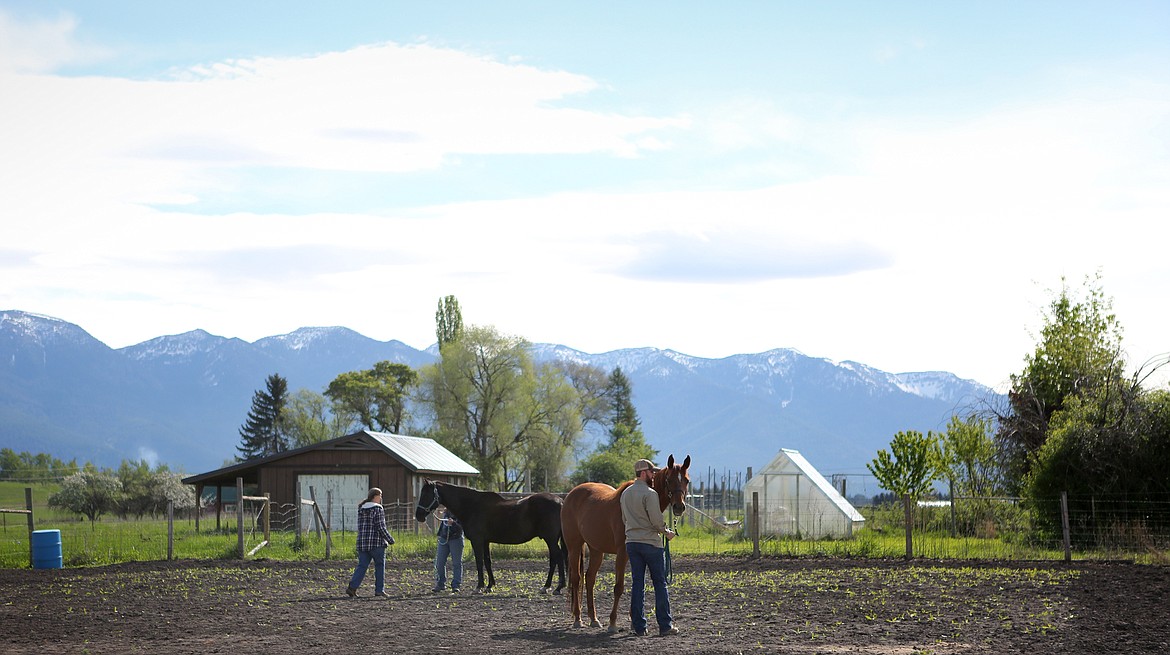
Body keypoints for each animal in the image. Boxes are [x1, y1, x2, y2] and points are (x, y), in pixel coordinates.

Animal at [416, 481, 566, 594]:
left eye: (426, 494)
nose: (418, 515)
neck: (472, 505)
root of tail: (560, 502)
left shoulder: (477, 541)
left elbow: (479, 562)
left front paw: (479, 587)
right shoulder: (485, 541)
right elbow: (488, 561)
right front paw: (490, 586)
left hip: (550, 539)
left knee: (558, 557)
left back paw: (556, 587)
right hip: (551, 539)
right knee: (555, 558)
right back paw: (550, 587)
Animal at [561, 453, 687, 631]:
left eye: (686, 480)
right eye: (669, 479)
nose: (679, 507)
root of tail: (571, 495)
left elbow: (637, 586)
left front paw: (634, 622)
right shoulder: (622, 553)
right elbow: (619, 587)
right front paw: (613, 622)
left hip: (596, 549)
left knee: (590, 578)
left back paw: (594, 619)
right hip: (574, 546)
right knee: (576, 579)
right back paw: (578, 619)